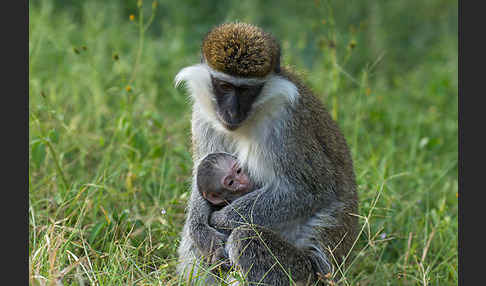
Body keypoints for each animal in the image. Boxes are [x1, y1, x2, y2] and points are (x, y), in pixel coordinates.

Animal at [177, 22, 358, 286]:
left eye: (246, 90)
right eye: (225, 86)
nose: (231, 112)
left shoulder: (286, 124)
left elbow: (308, 191)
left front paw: (222, 219)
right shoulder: (202, 116)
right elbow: (200, 178)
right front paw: (202, 230)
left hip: (308, 273)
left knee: (244, 237)